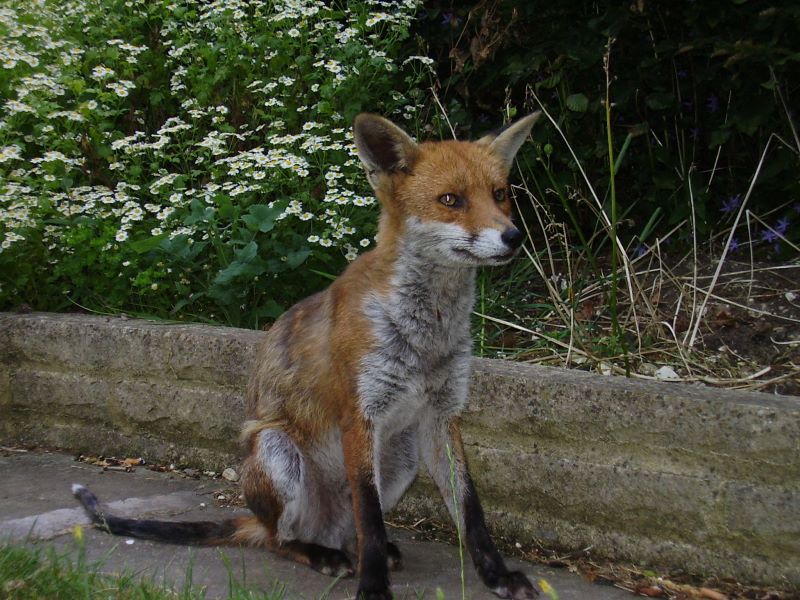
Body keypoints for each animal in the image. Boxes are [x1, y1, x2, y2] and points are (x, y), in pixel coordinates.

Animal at [72, 111, 542, 599]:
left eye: (499, 194)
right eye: (451, 200)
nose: (513, 237)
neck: (426, 335)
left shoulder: (442, 415)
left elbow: (470, 510)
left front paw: (497, 576)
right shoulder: (360, 415)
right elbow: (371, 517)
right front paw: (373, 588)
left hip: (402, 457)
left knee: (348, 530)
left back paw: (356, 550)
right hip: (277, 452)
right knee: (284, 540)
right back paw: (321, 555)